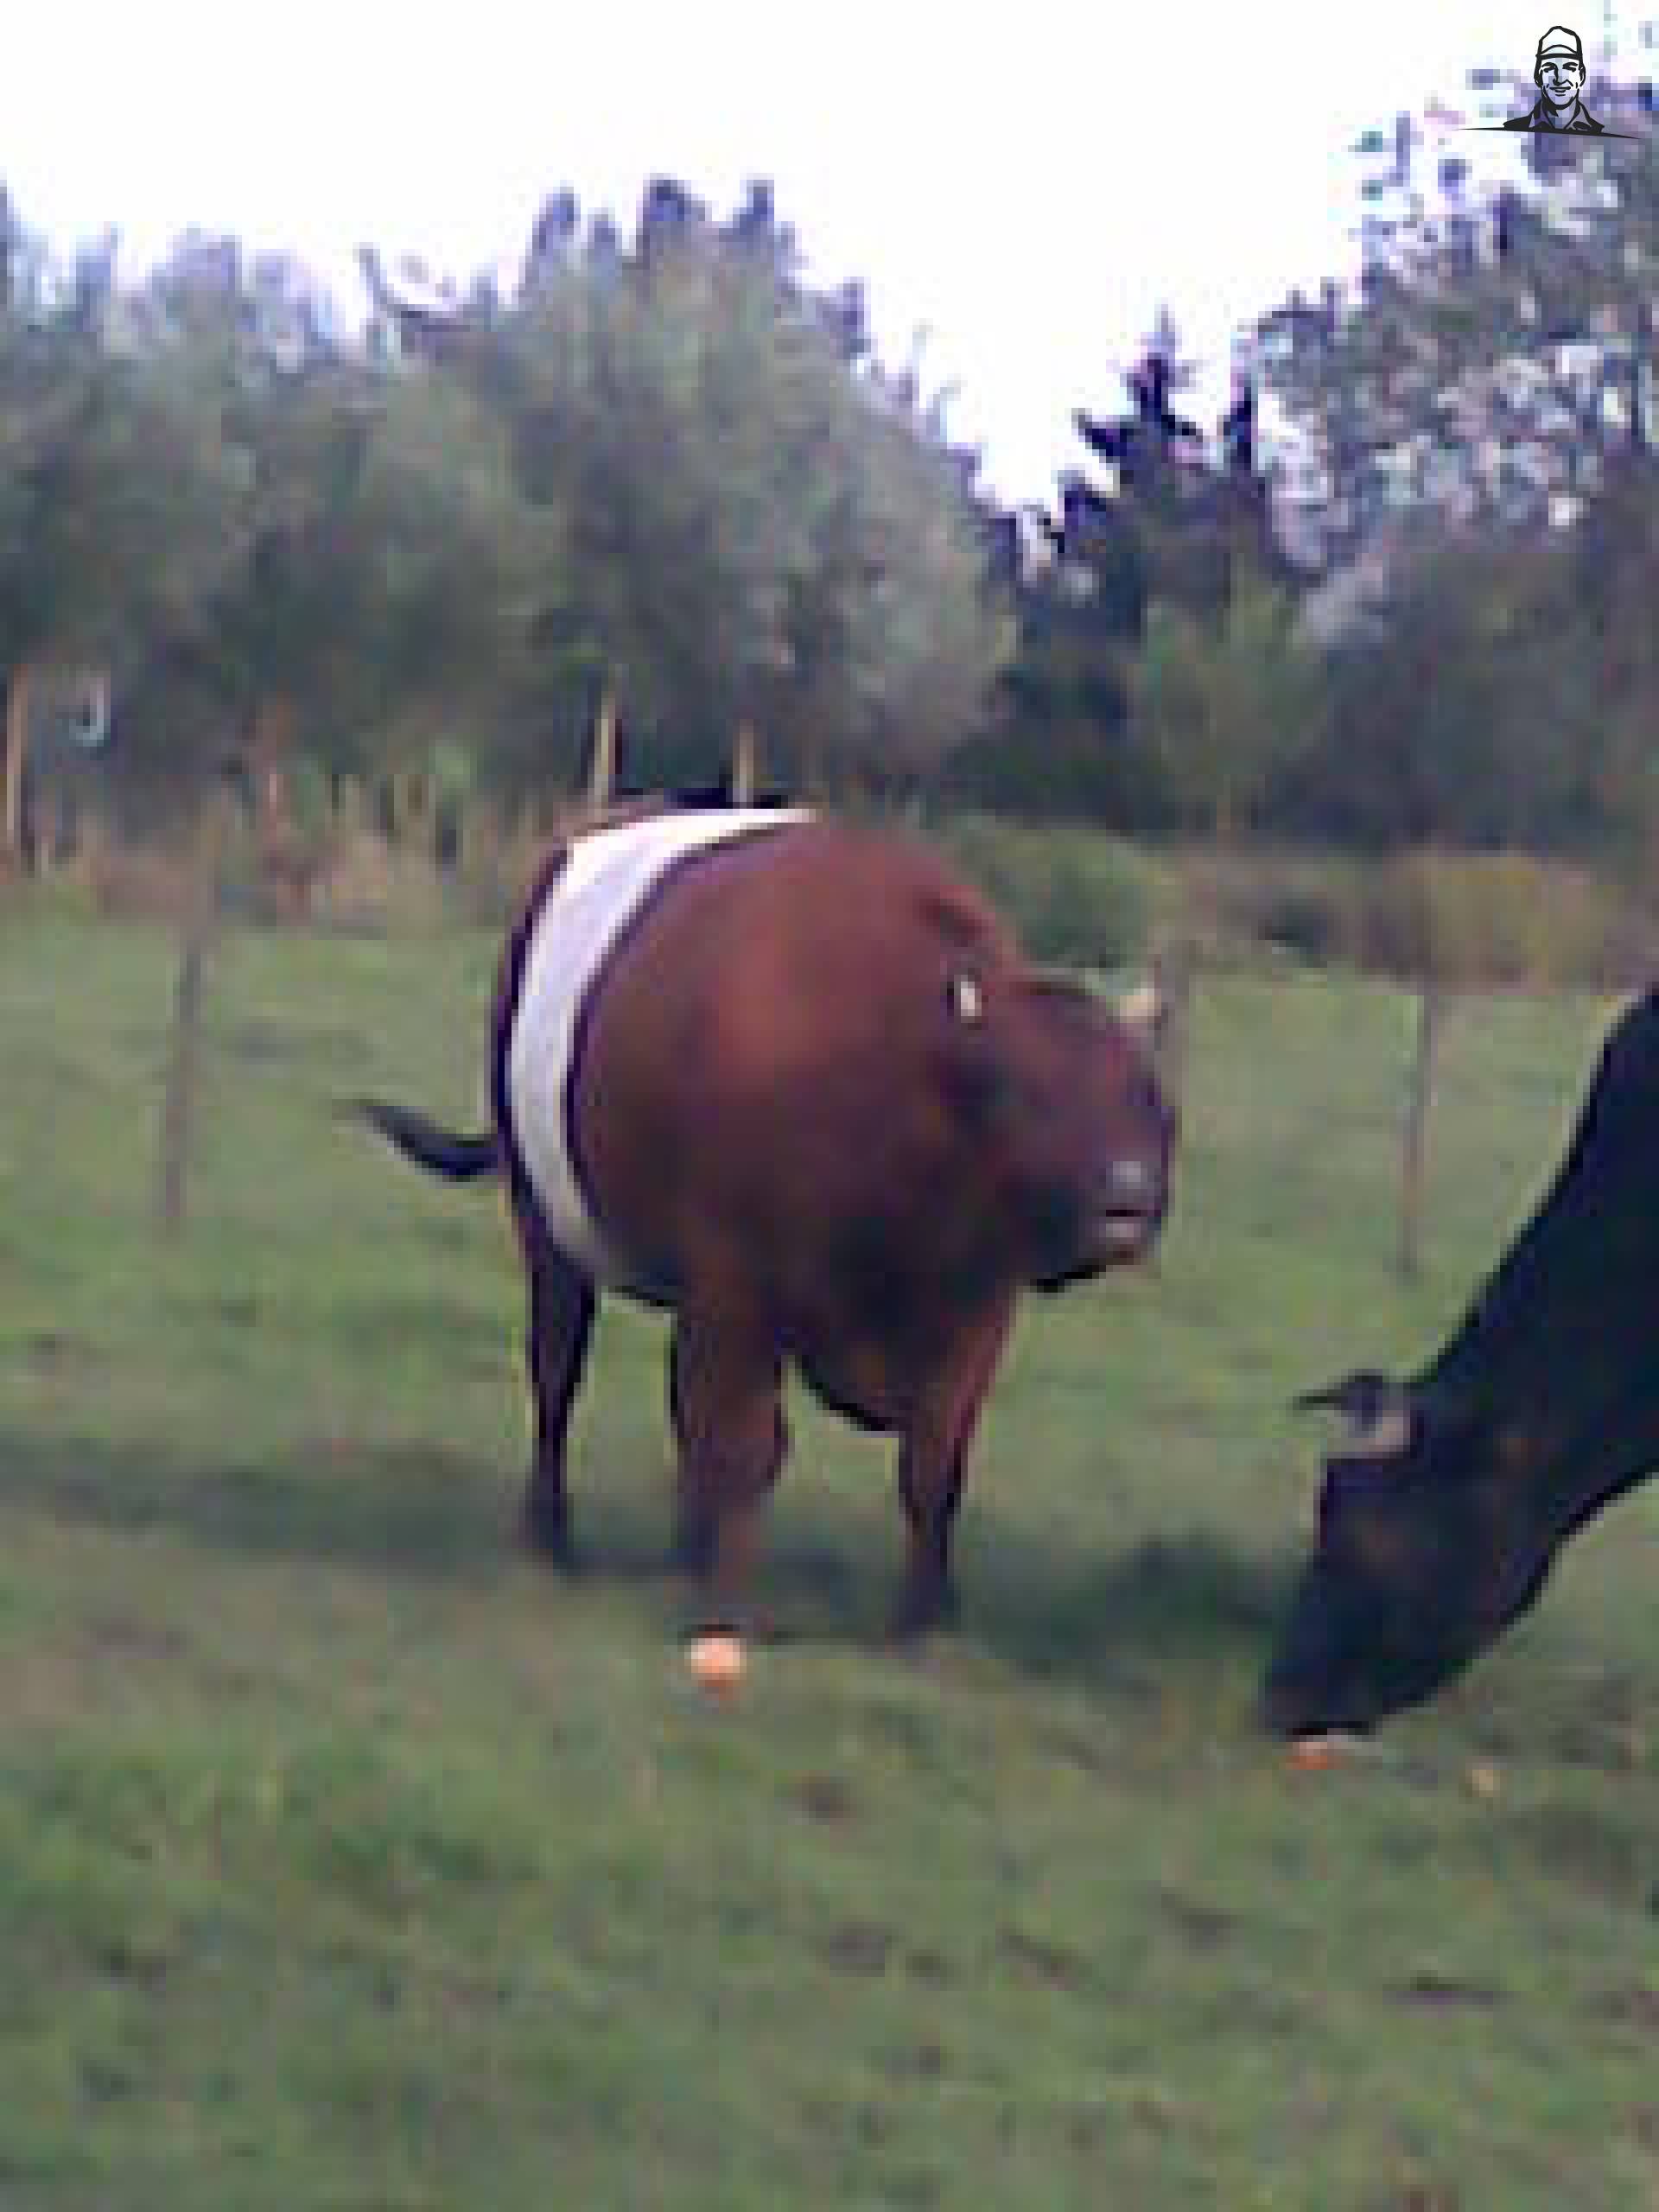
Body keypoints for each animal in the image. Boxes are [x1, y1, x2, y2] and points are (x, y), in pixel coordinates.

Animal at [355, 805, 1175, 1632]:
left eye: (1149, 1097)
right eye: (1015, 1092)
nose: (1127, 1200)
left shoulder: (977, 1304)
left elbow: (934, 1463)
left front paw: (925, 1618)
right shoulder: (740, 1283)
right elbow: (749, 1447)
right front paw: (729, 1604)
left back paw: (684, 1548)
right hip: (548, 1222)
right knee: (560, 1370)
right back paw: (553, 1539)